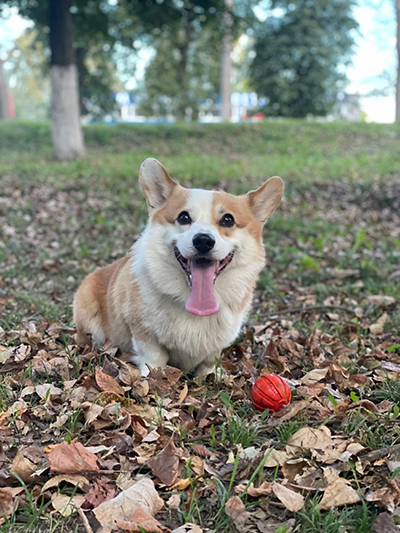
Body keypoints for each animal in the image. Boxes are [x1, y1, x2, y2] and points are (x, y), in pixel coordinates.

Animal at [73, 159, 283, 376]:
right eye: (183, 217)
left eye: (228, 219)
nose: (203, 241)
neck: (194, 307)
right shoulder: (144, 333)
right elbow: (154, 359)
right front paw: (151, 377)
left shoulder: (215, 347)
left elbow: (209, 362)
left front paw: (211, 375)